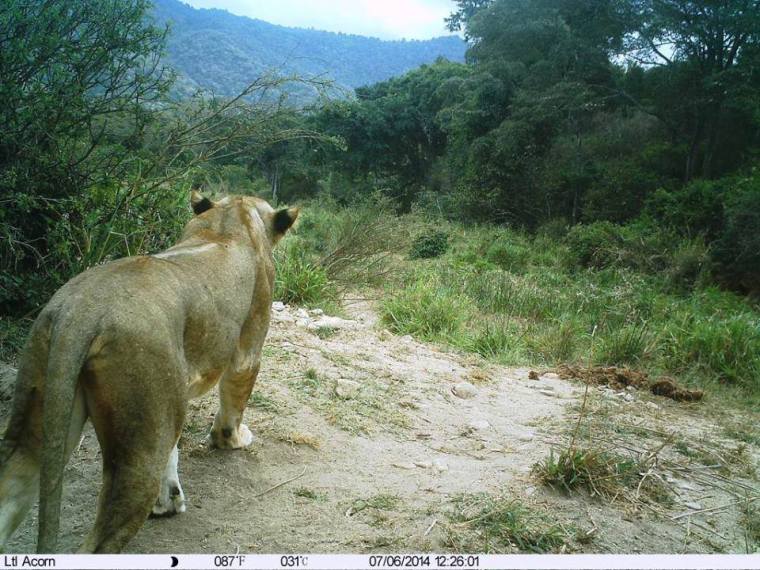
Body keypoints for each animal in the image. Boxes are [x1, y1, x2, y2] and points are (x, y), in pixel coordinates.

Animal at [0, 192, 298, 553]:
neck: (229, 219)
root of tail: (80, 313)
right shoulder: (247, 351)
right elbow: (233, 406)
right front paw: (232, 441)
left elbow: (173, 448)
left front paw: (168, 501)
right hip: (138, 451)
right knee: (101, 539)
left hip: (38, 415)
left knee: (15, 480)